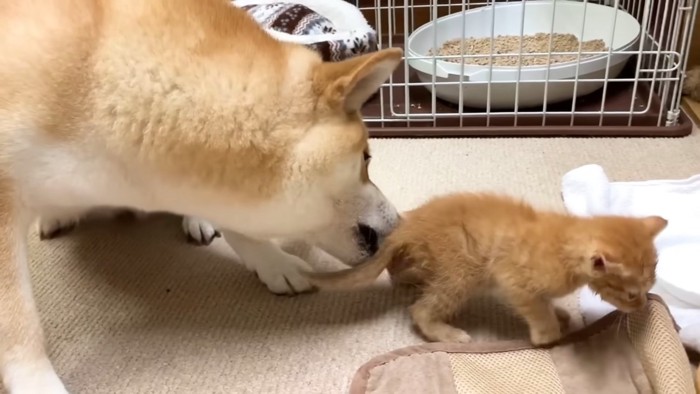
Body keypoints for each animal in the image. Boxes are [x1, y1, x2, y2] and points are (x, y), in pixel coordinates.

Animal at [302, 192, 668, 346]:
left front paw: (561, 315)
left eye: (649, 287)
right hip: (462, 272)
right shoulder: (513, 279)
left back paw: (406, 279)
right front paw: (547, 334)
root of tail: (407, 227)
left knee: (402, 271)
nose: (643, 304)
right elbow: (538, 309)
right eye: (632, 294)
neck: (564, 242)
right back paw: (446, 333)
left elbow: (545, 303)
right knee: (420, 310)